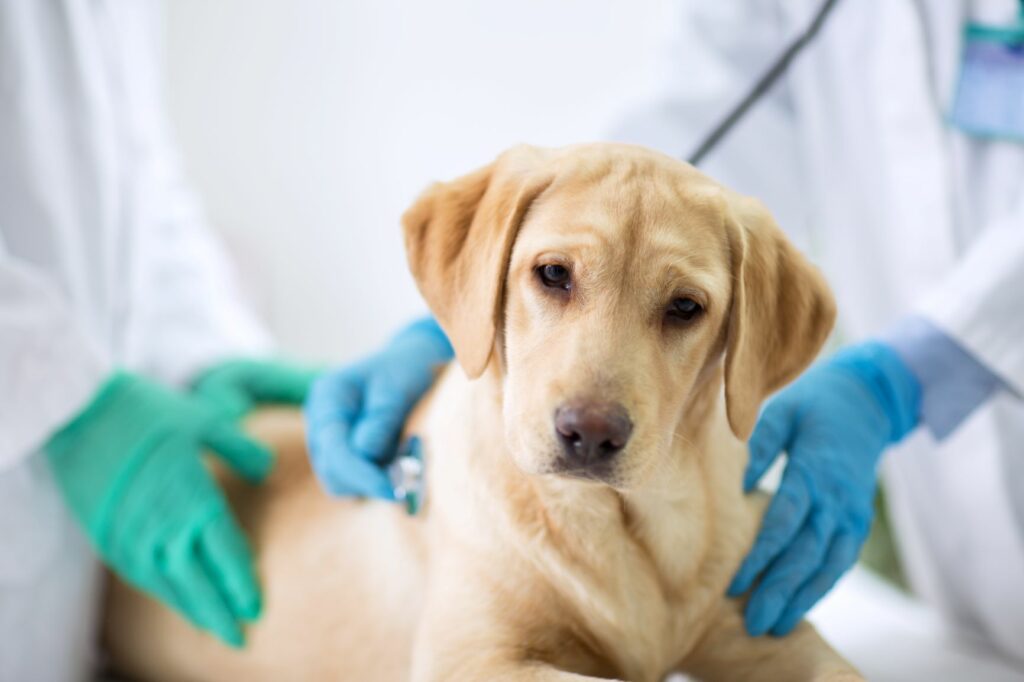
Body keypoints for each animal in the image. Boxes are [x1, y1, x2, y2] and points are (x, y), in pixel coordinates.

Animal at [105, 140, 856, 675]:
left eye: (686, 308)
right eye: (552, 274)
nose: (589, 434)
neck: (622, 526)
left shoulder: (767, 630)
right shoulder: (473, 657)